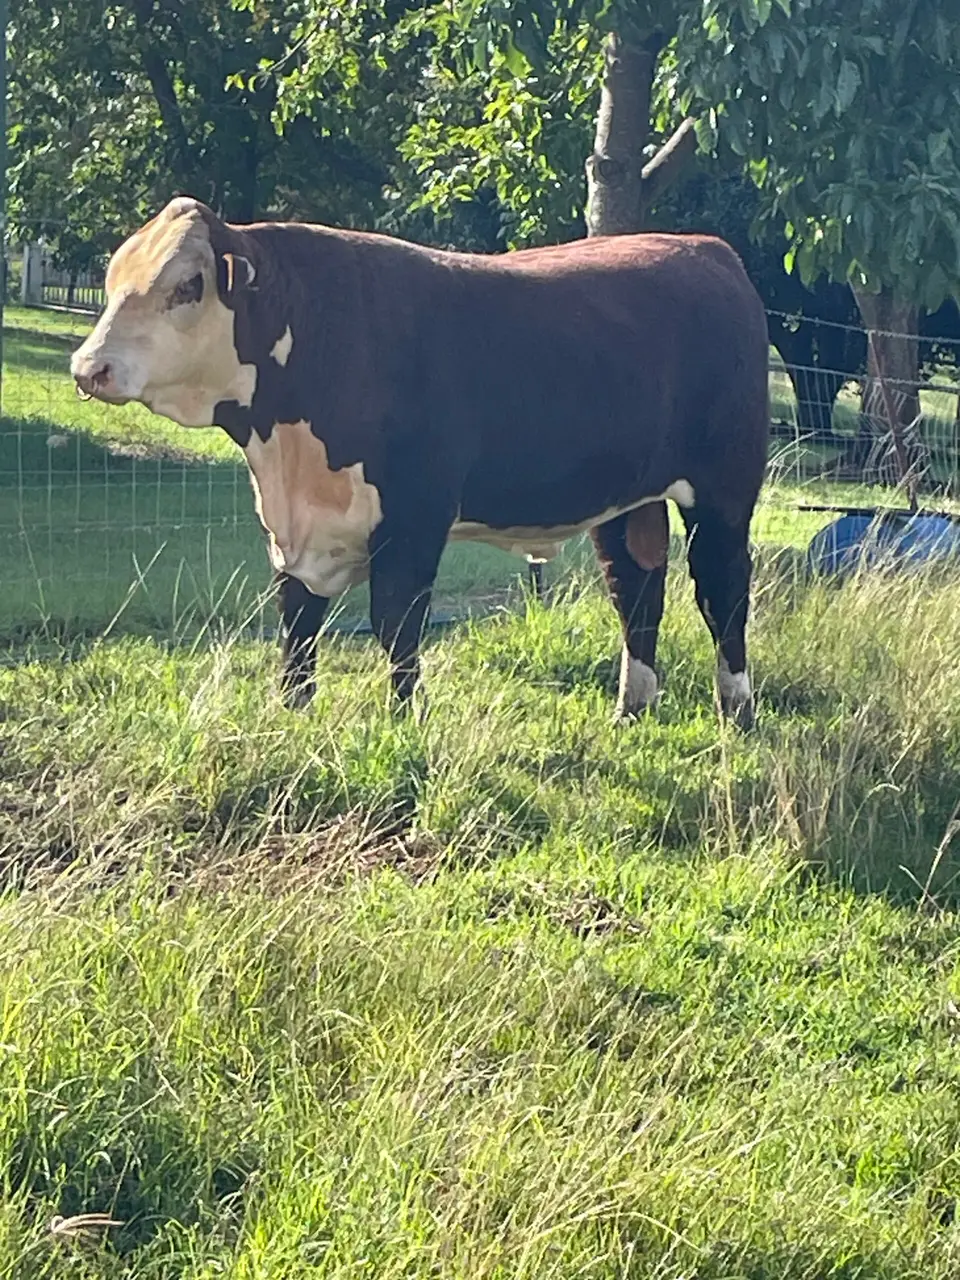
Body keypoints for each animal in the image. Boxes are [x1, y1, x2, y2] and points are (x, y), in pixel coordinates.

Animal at [71, 197, 769, 726]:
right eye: (112, 282)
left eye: (187, 285)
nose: (87, 367)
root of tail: (707, 250)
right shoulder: (292, 527)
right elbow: (298, 625)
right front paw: (291, 715)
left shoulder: (413, 515)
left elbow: (397, 624)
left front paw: (405, 722)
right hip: (628, 500)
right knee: (637, 589)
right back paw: (631, 709)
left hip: (724, 490)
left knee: (723, 591)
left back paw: (736, 712)